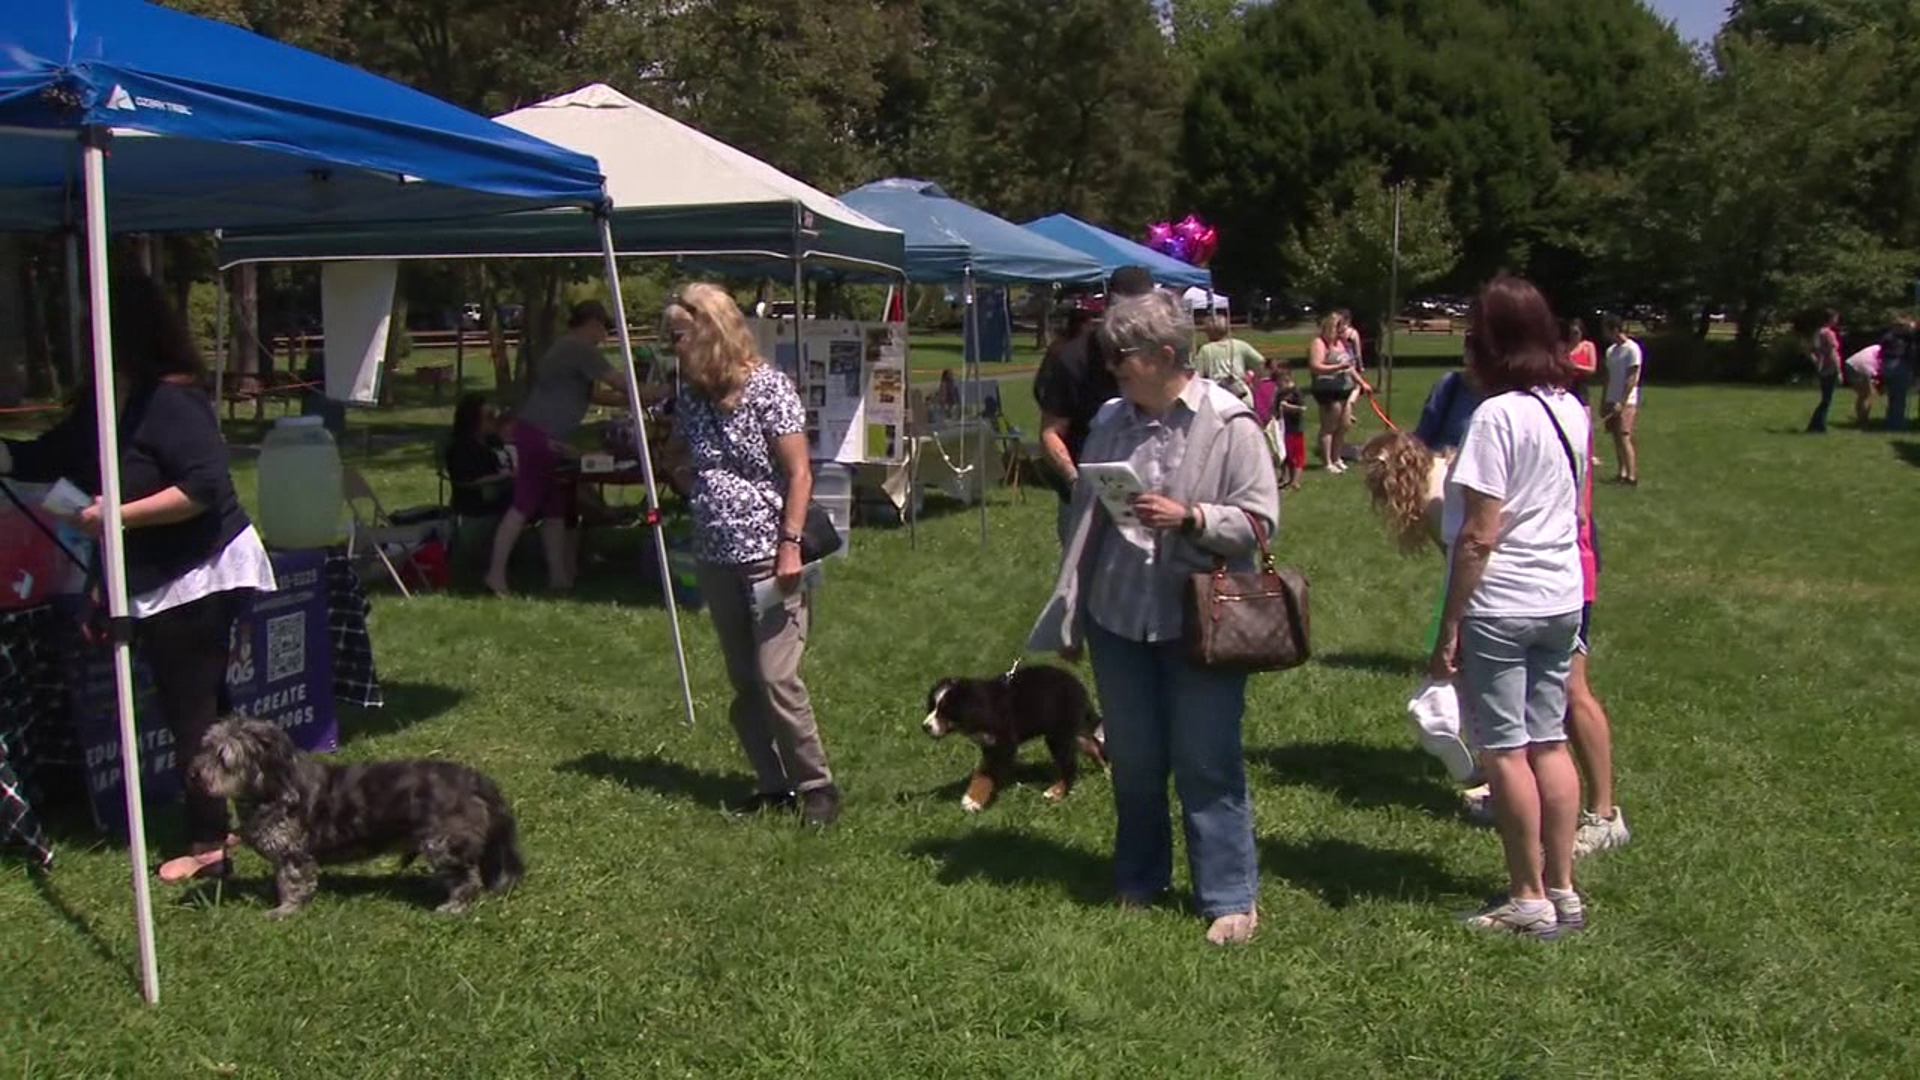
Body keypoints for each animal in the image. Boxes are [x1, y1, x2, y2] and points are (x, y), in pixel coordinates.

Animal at [190, 714, 522, 914]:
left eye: (223, 758)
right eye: (205, 746)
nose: (192, 774)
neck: (274, 788)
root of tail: (475, 780)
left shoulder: (295, 856)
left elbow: (293, 884)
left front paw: (285, 910)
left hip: (442, 844)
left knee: (469, 879)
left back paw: (454, 906)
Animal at [921, 661, 1105, 810]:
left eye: (945, 711)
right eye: (932, 707)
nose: (925, 727)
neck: (983, 708)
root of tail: (1077, 685)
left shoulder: (1003, 744)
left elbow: (985, 773)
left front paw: (973, 800)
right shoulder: (989, 744)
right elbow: (983, 771)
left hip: (1059, 735)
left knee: (1069, 764)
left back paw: (1056, 792)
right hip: (1072, 730)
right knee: (1092, 745)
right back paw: (1106, 770)